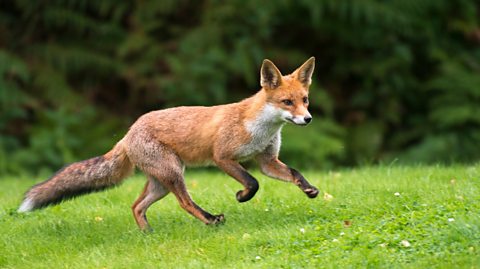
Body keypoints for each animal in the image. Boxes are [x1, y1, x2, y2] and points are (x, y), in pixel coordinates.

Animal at [17, 57, 318, 230]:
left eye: (305, 100)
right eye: (286, 102)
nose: (308, 119)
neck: (259, 127)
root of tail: (128, 133)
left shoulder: (267, 161)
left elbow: (293, 173)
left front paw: (309, 189)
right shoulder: (222, 157)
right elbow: (253, 183)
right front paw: (242, 196)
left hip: (161, 182)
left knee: (136, 206)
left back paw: (147, 234)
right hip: (173, 174)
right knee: (184, 203)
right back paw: (210, 220)